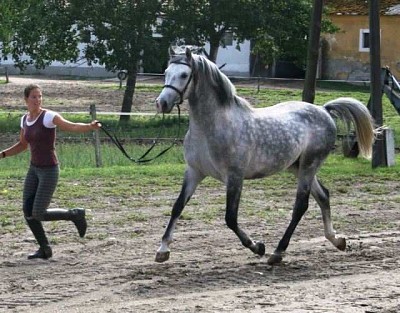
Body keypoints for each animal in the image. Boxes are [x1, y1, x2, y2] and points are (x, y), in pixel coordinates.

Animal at [154, 47, 376, 264]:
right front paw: (163, 250)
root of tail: (324, 110)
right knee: (323, 196)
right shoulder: (194, 172)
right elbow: (177, 206)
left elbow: (230, 218)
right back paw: (336, 240)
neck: (213, 127)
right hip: (298, 167)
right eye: (166, 72)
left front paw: (257, 247)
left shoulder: (234, 177)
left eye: (184, 75)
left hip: (309, 165)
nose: (161, 103)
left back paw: (277, 252)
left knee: (301, 205)